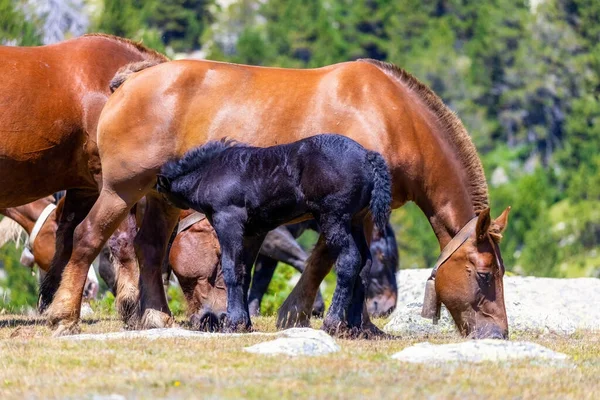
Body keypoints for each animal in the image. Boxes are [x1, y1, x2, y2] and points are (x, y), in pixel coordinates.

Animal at [0, 34, 168, 332]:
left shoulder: (84, 187)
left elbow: (66, 239)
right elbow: (123, 242)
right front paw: (131, 305)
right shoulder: (112, 183)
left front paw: (56, 302)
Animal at [157, 134, 392, 334]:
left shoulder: (228, 221)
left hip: (334, 218)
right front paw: (245, 324)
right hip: (356, 220)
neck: (210, 172)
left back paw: (332, 323)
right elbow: (245, 273)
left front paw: (233, 323)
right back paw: (354, 326)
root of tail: (367, 156)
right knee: (365, 262)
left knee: (349, 260)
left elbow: (232, 269)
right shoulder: (253, 232)